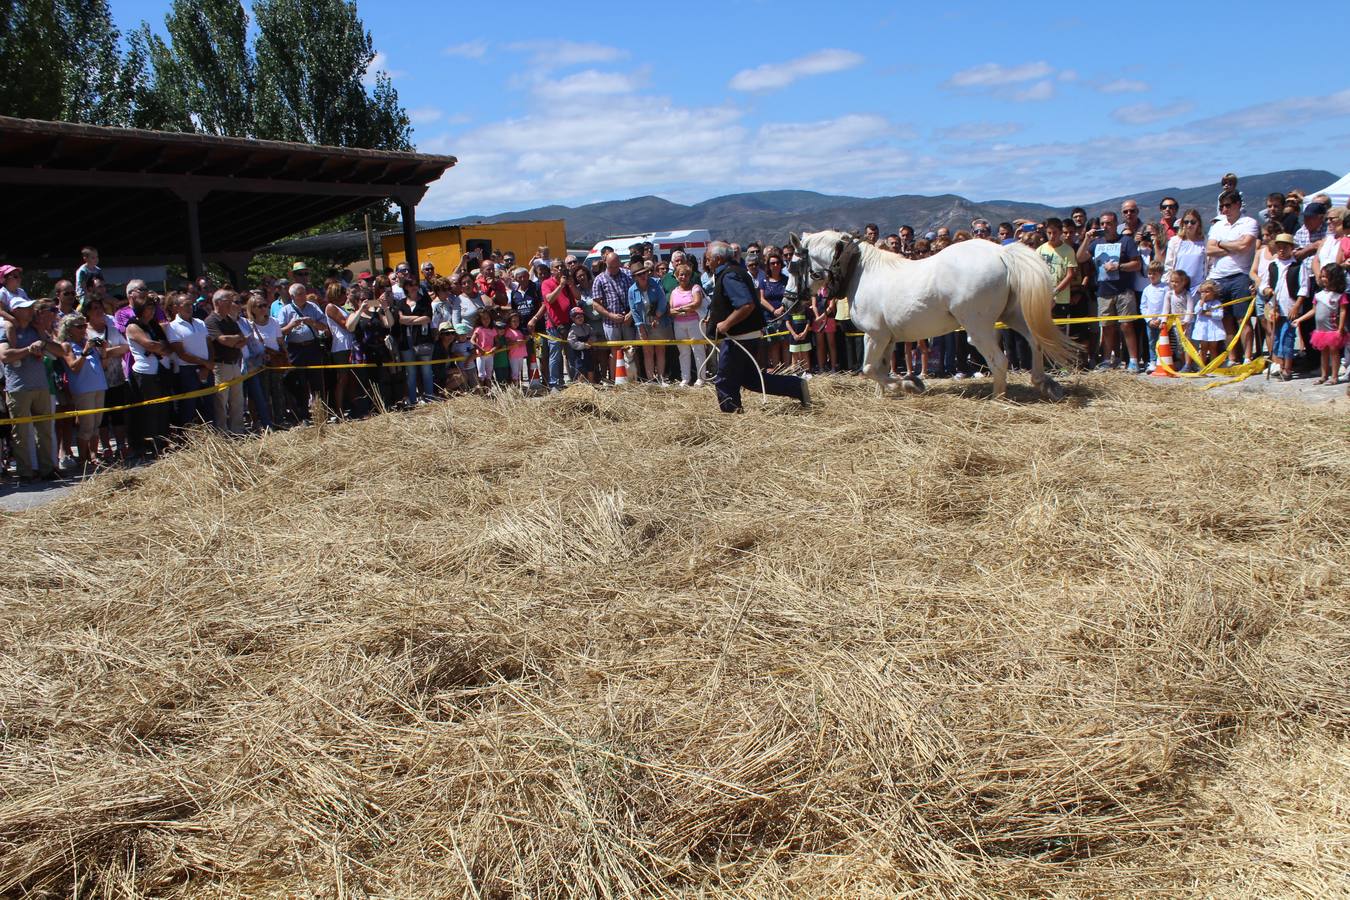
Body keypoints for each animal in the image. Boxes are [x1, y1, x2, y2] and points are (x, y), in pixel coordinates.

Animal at [788, 232, 1080, 402]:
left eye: (792, 264)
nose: (789, 299)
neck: (861, 272)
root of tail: (1001, 253)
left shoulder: (874, 335)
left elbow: (869, 369)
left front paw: (909, 384)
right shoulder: (888, 339)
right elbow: (880, 368)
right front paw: (885, 394)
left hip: (978, 326)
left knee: (999, 361)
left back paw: (999, 398)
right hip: (1014, 314)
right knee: (1036, 342)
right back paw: (1045, 383)